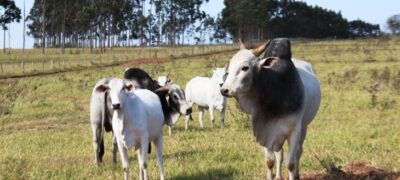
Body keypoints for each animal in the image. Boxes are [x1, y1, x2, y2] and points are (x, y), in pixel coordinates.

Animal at [220, 38, 320, 180]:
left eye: (245, 67)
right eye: (229, 68)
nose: (224, 90)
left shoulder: (294, 130)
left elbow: (291, 163)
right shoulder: (265, 130)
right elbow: (270, 161)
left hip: (304, 128)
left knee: (299, 152)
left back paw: (297, 175)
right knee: (280, 154)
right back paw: (278, 176)